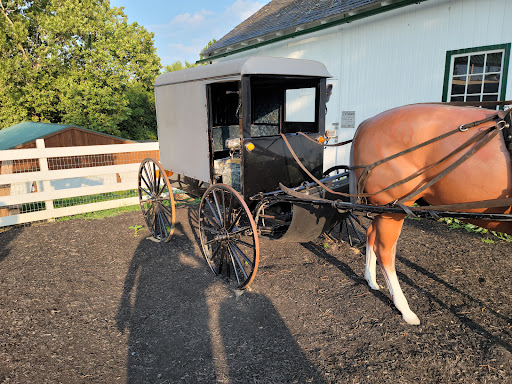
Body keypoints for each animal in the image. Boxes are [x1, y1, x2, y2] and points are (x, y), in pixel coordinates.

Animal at [350, 103, 512, 326]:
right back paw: (404, 309)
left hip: (385, 210)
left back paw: (371, 280)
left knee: (371, 235)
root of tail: (365, 123)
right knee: (385, 251)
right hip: (393, 208)